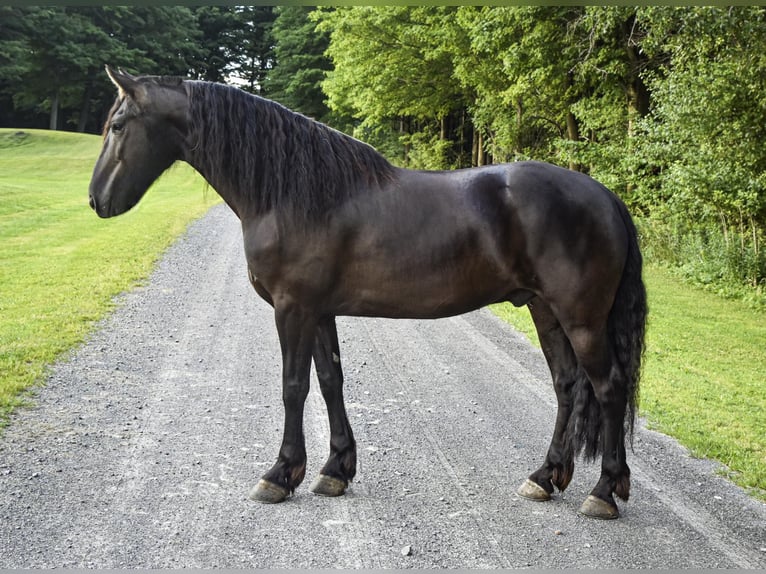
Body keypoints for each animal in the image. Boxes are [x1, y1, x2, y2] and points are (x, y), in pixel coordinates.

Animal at [88, 67, 648, 520]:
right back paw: (544, 477)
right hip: (543, 309)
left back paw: (603, 492)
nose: (96, 201)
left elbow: (294, 387)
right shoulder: (318, 312)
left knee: (608, 387)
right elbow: (330, 381)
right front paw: (335, 469)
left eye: (117, 125)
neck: (294, 195)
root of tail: (605, 196)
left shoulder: (293, 309)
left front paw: (280, 474)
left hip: (581, 318)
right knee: (567, 386)